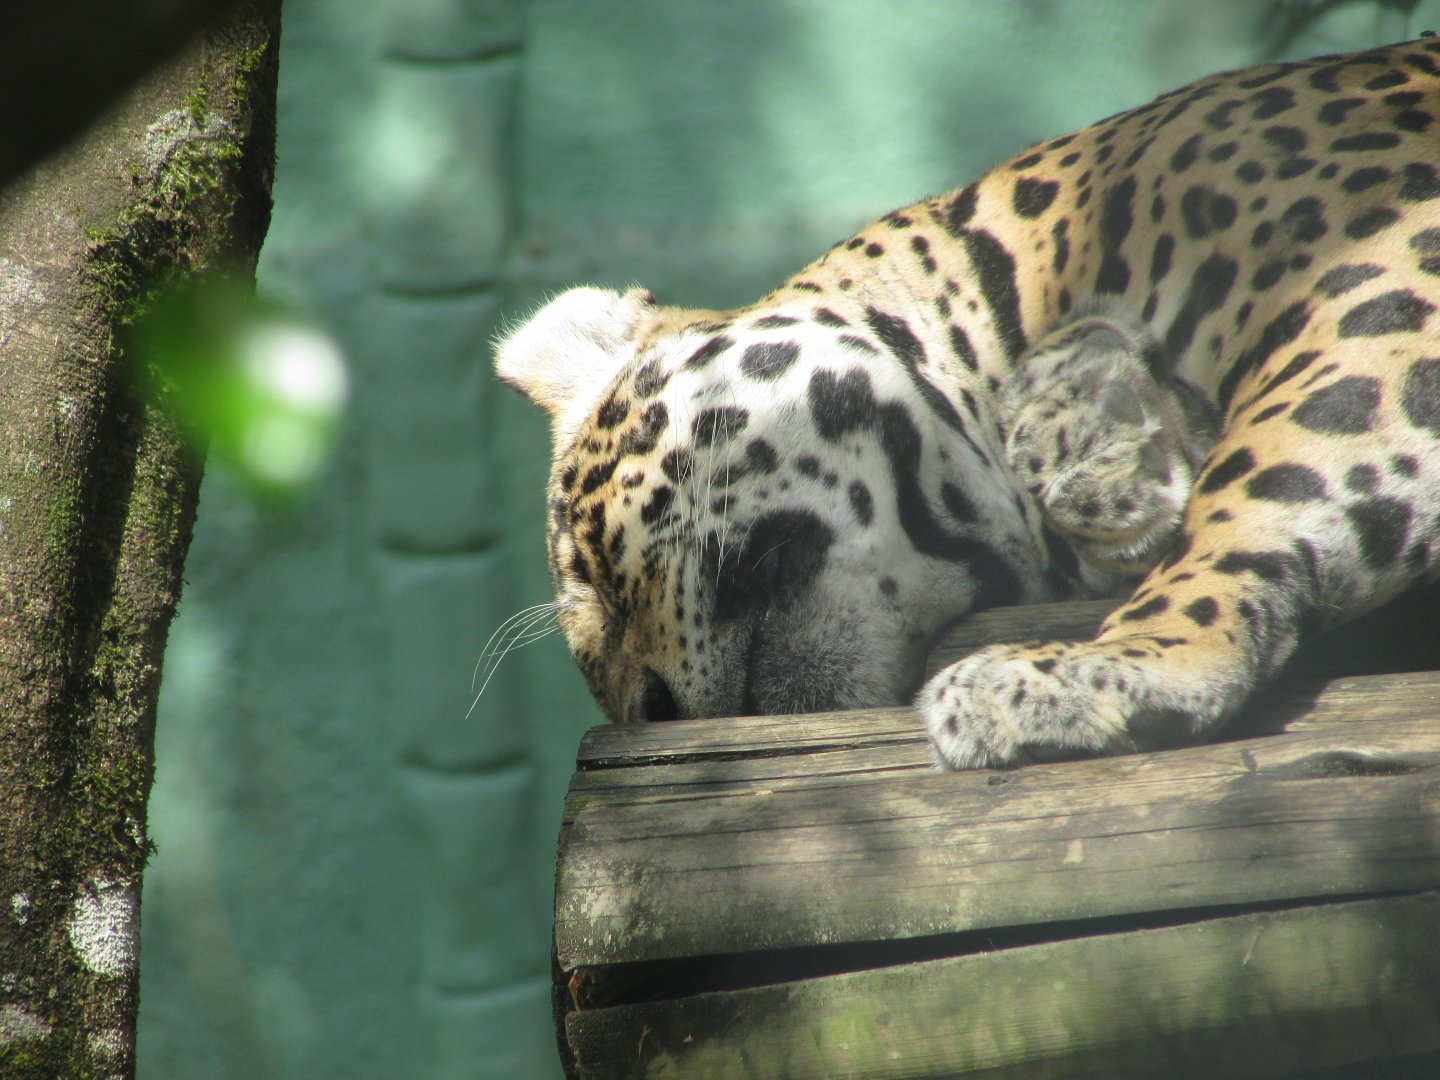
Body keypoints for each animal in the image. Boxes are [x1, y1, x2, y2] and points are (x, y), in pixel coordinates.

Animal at [495, 38, 1440, 769]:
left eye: (591, 566)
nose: (652, 708)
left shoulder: (1387, 261)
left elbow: (1259, 489)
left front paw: (1109, 667)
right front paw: (1106, 433)